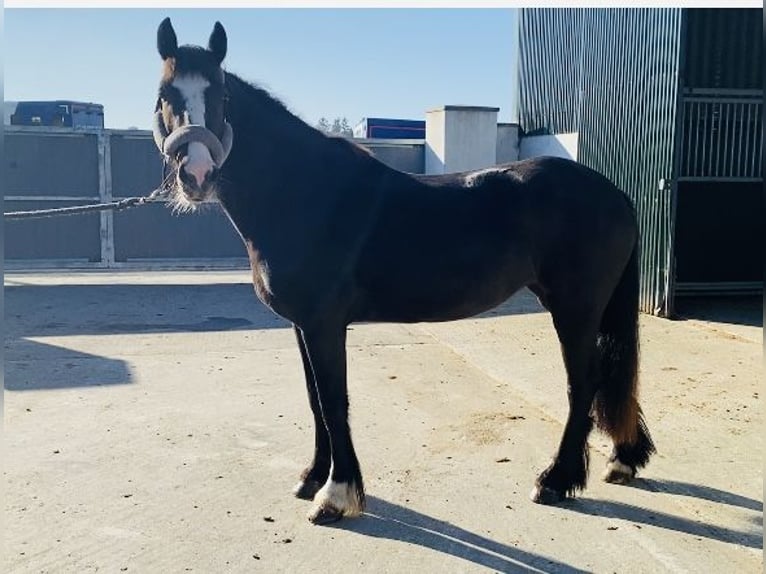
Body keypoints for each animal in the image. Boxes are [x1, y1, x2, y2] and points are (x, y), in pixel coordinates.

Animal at [153, 19, 656, 528]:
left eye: (220, 95)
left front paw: (336, 495)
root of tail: (616, 193)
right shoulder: (301, 326)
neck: (305, 192)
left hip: (575, 308)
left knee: (584, 383)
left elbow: (334, 401)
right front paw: (313, 477)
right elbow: (315, 400)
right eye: (165, 95)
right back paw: (621, 460)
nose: (196, 175)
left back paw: (555, 481)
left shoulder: (323, 324)